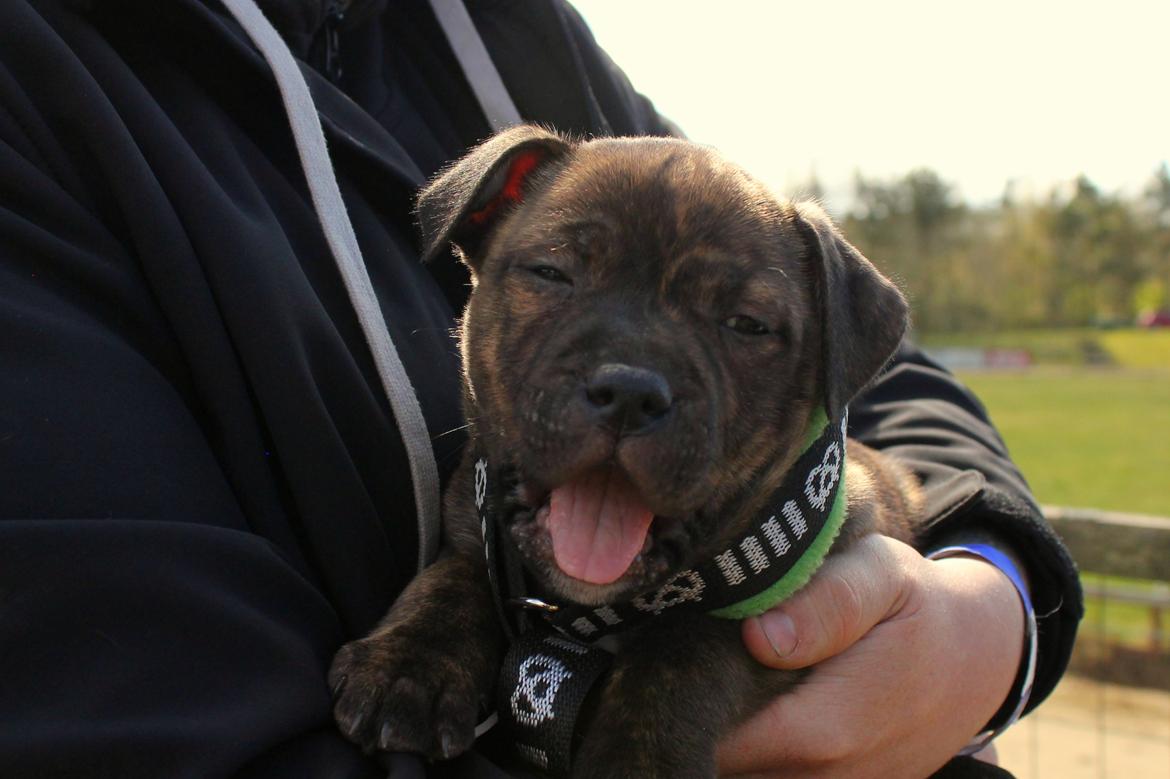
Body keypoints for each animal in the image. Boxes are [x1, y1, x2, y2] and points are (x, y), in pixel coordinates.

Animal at [329, 124, 921, 771]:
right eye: (551, 273)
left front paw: (637, 756)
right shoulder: (477, 530)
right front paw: (410, 665)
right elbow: (457, 576)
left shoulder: (795, 596)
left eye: (747, 325)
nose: (631, 392)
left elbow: (686, 646)